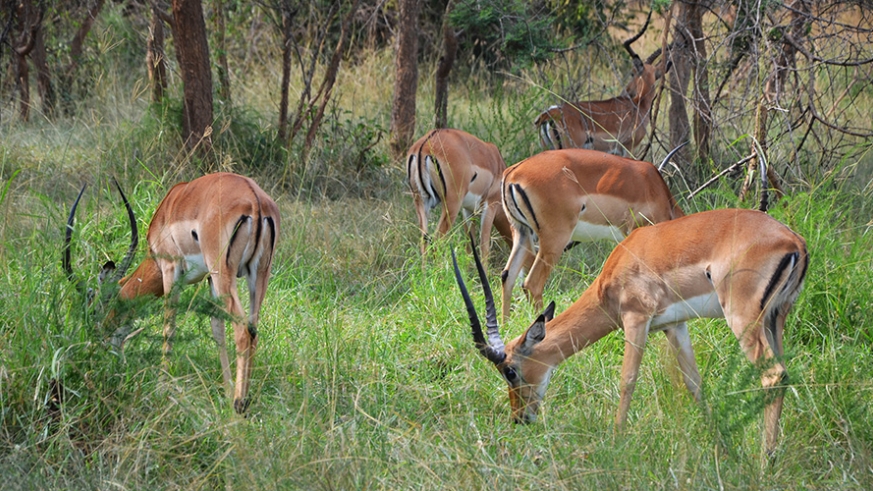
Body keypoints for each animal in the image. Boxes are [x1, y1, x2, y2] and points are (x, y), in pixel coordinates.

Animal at [64, 173, 280, 414]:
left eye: (94, 311)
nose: (99, 348)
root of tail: (255, 201)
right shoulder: (208, 279)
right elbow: (217, 330)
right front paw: (226, 390)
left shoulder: (170, 269)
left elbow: (169, 327)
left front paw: (161, 386)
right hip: (259, 274)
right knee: (253, 330)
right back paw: (245, 398)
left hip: (224, 272)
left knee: (243, 330)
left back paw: (239, 405)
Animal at [406, 128, 513, 263]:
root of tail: (425, 144)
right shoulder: (490, 206)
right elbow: (484, 249)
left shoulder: (467, 210)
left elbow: (469, 248)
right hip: (451, 205)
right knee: (436, 241)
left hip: (420, 201)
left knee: (423, 242)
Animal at [453, 208, 808, 456]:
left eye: (510, 370)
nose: (520, 417)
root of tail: (795, 241)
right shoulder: (673, 326)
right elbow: (694, 383)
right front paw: (723, 448)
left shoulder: (636, 319)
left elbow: (627, 381)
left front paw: (616, 443)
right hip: (775, 319)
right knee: (782, 371)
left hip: (743, 319)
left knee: (772, 375)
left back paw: (765, 461)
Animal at [501, 146, 685, 323]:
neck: (654, 187)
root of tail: (512, 173)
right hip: (554, 241)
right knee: (531, 284)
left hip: (522, 234)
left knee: (507, 277)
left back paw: (506, 325)